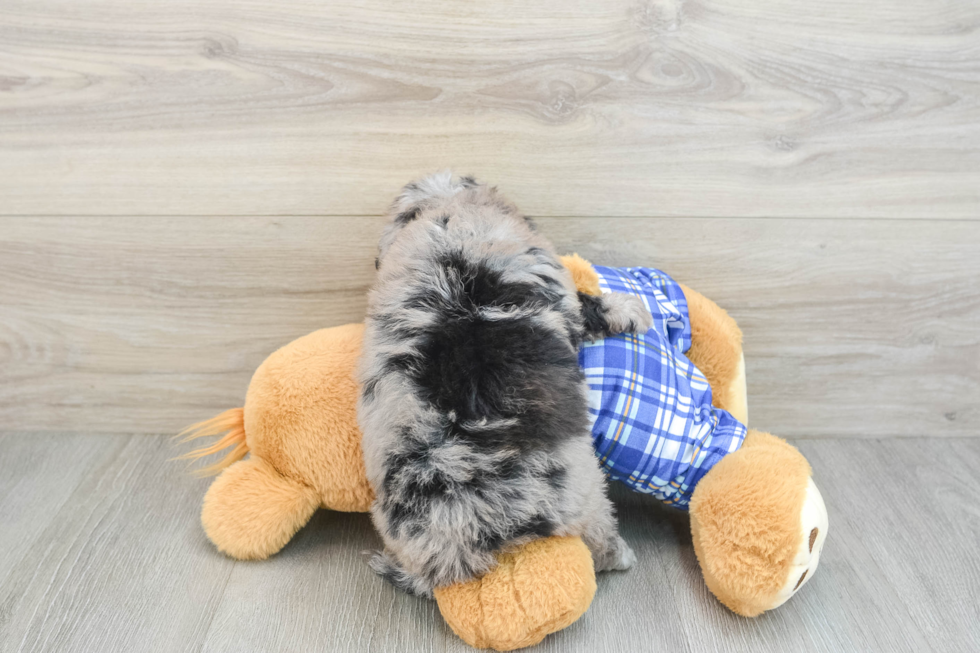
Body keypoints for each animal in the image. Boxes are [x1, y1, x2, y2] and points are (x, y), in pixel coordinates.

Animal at [358, 172, 652, 596]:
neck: (450, 209)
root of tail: (466, 517)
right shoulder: (563, 293)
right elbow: (590, 307)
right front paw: (631, 309)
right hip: (584, 493)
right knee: (599, 534)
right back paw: (620, 555)